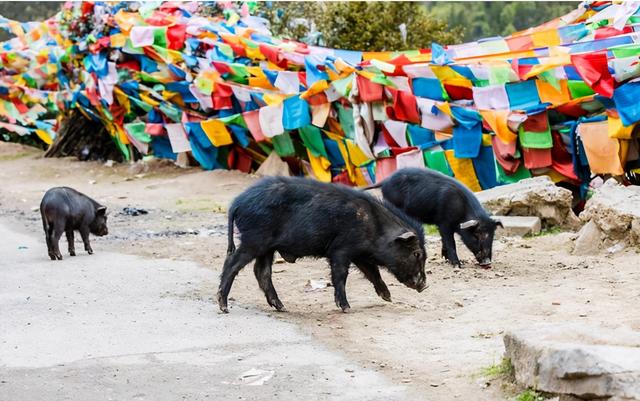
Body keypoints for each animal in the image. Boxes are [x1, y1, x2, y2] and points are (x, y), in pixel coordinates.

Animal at [218, 176, 428, 312]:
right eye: (416, 253)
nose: (424, 285)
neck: (375, 227)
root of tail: (237, 203)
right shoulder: (341, 250)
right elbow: (341, 275)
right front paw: (346, 308)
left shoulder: (360, 254)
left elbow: (373, 272)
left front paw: (388, 297)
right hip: (254, 240)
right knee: (232, 264)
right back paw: (224, 306)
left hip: (266, 247)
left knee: (261, 272)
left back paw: (282, 307)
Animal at [368, 167, 502, 268]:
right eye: (477, 234)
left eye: (492, 235)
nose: (487, 262)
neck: (462, 211)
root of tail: (385, 181)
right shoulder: (444, 223)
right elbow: (450, 242)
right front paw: (457, 265)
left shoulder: (441, 225)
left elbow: (444, 240)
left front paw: (445, 258)